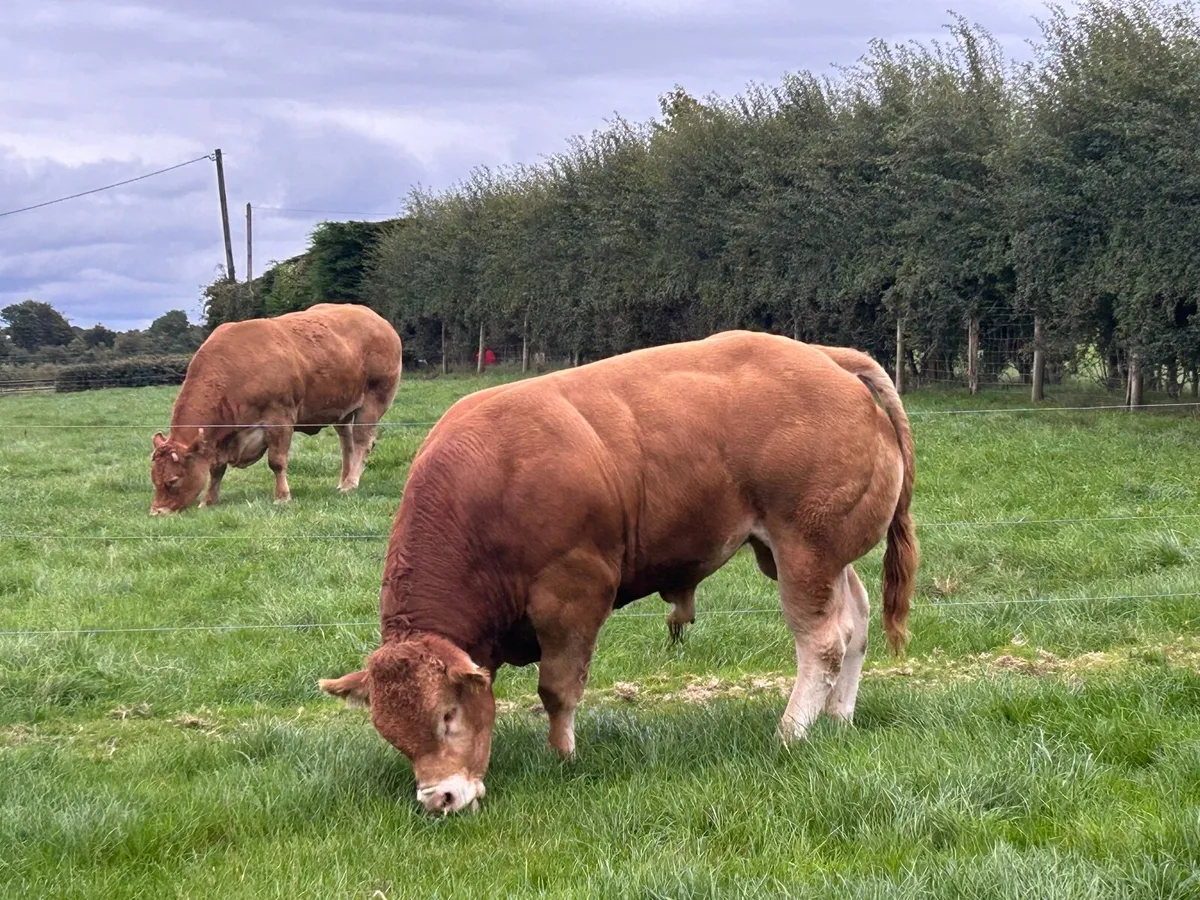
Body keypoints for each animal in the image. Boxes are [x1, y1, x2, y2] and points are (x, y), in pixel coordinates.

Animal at [149, 303, 402, 514]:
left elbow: (277, 461)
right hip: (342, 408)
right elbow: (216, 469)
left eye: (173, 480)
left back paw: (351, 483)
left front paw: (282, 497)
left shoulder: (279, 419)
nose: (157, 512)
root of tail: (377, 319)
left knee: (362, 441)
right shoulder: (220, 439)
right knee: (346, 443)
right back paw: (343, 481)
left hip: (373, 401)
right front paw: (208, 500)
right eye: (154, 479)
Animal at [319, 331, 916, 815]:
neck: (489, 490)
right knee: (856, 623)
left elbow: (557, 689)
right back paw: (836, 718)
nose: (438, 798)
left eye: (447, 715)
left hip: (804, 553)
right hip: (819, 558)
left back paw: (790, 732)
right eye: (393, 735)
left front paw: (562, 758)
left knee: (823, 642)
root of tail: (826, 357)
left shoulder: (571, 598)